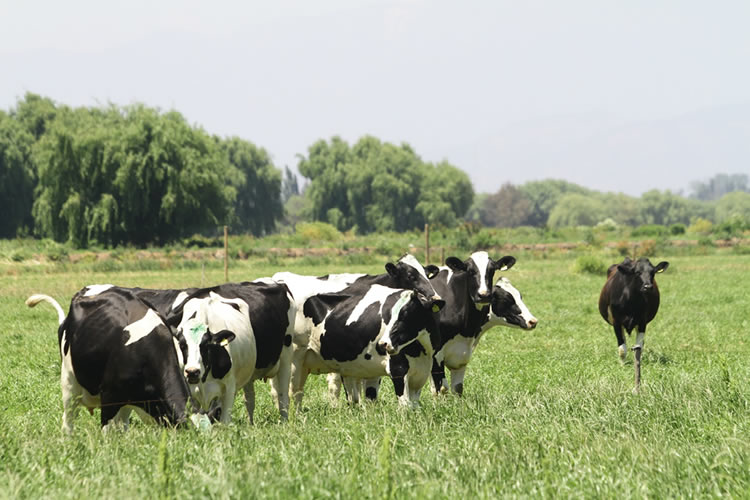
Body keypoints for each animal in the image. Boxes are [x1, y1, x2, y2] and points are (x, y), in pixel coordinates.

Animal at [168, 282, 296, 422]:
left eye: (207, 345)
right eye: (181, 345)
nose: (192, 372)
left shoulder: (229, 388)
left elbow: (224, 421)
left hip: (286, 357)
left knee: (283, 397)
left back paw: (284, 421)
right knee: (250, 399)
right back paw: (250, 423)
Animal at [300, 282, 440, 406]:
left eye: (406, 315)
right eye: (390, 315)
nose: (383, 343)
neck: (422, 352)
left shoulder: (420, 374)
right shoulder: (398, 370)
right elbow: (405, 406)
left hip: (346, 367)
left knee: (352, 397)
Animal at [426, 252, 536, 396]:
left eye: (492, 270)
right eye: (506, 299)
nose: (532, 321)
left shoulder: (461, 356)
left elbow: (458, 388)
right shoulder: (435, 355)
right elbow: (440, 389)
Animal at [604, 258, 672, 390]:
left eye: (653, 272)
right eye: (637, 272)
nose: (648, 286)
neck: (630, 299)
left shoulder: (642, 322)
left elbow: (639, 346)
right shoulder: (616, 322)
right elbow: (622, 349)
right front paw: (622, 366)